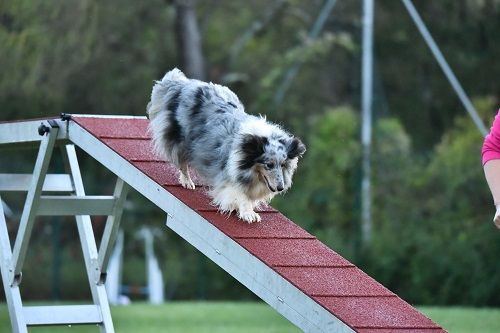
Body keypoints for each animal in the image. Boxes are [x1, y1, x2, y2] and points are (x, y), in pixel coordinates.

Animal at [146, 68, 306, 222]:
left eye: (283, 165)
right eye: (268, 165)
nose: (280, 187)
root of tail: (182, 84)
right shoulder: (229, 175)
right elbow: (239, 194)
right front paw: (248, 214)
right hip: (181, 141)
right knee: (182, 162)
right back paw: (188, 182)